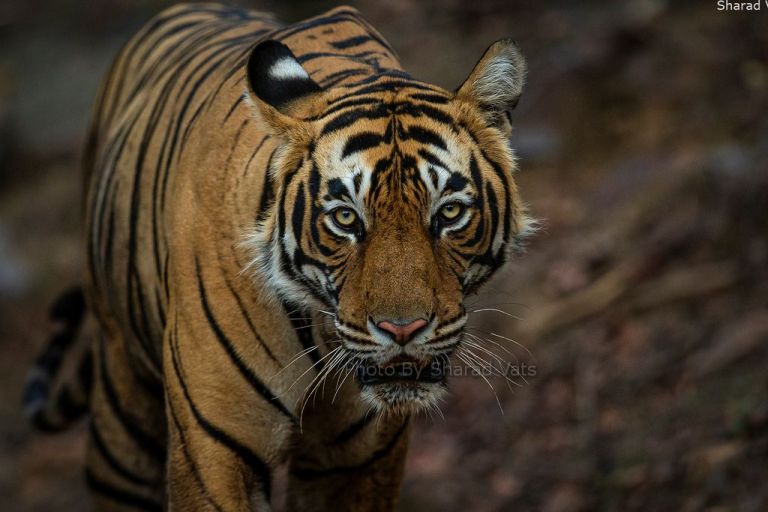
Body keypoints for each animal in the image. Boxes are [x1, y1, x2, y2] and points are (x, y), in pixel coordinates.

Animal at [22, 2, 534, 511]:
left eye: (449, 212)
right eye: (345, 218)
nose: (402, 330)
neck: (322, 332)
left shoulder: (359, 460)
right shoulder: (213, 453)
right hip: (121, 422)